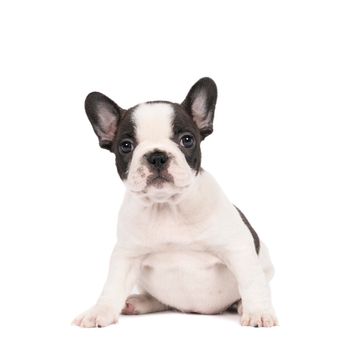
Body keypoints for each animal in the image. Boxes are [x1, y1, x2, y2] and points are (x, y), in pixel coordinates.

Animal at [72, 77, 278, 328]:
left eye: (187, 140)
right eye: (126, 146)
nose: (157, 156)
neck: (168, 207)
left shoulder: (237, 248)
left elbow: (251, 282)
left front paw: (258, 311)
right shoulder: (127, 255)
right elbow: (112, 286)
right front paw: (99, 311)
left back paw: (240, 305)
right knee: (161, 301)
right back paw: (138, 302)